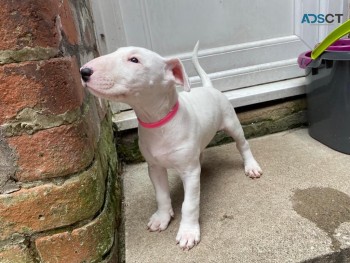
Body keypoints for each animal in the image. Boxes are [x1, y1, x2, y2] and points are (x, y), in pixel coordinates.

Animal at [80, 42, 262, 251]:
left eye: (134, 60)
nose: (84, 71)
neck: (158, 122)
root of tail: (209, 88)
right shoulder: (155, 168)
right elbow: (161, 194)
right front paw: (162, 217)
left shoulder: (190, 173)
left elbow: (190, 204)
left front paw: (188, 232)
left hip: (232, 123)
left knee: (243, 144)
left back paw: (251, 166)